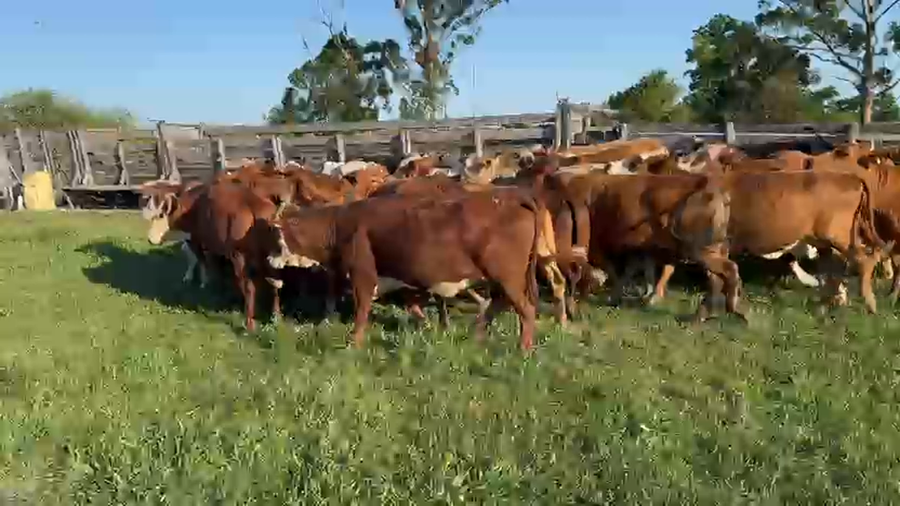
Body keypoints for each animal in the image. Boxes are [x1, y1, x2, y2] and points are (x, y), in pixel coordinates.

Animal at [265, 189, 548, 350]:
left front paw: (354, 342)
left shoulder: (362, 274)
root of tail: (513, 197)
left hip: (506, 275)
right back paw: (476, 334)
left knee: (525, 309)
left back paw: (523, 348)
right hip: (502, 277)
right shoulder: (402, 278)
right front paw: (431, 328)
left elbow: (362, 310)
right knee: (501, 303)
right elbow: (413, 306)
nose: (268, 259)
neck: (339, 225)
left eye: (277, 236)